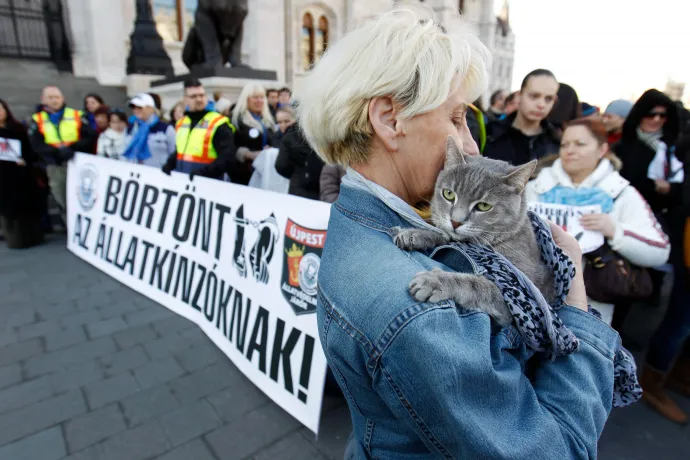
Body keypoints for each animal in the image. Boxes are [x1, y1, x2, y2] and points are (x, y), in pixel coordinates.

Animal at [390, 137, 552, 328]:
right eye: (448, 194)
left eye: (484, 206)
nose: (455, 221)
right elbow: (446, 236)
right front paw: (414, 234)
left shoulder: (519, 297)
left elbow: (474, 284)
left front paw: (433, 281)